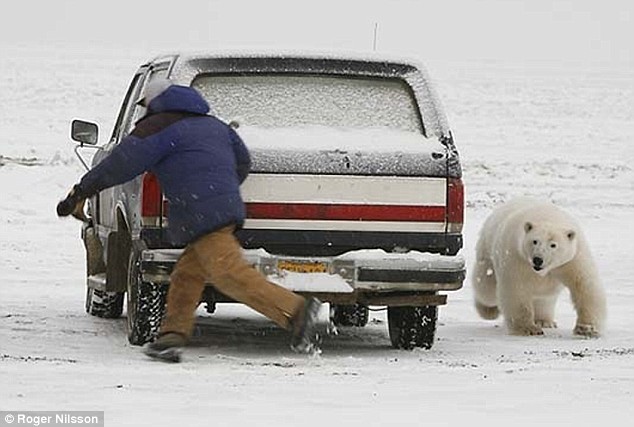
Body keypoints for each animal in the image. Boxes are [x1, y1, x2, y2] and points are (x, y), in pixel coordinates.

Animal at [472, 198, 604, 338]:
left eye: (553, 245)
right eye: (535, 241)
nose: (538, 260)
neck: (546, 216)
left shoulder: (572, 258)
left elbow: (585, 286)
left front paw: (587, 329)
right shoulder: (517, 256)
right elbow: (516, 289)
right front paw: (529, 329)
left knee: (545, 298)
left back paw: (544, 321)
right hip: (488, 252)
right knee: (486, 288)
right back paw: (488, 310)